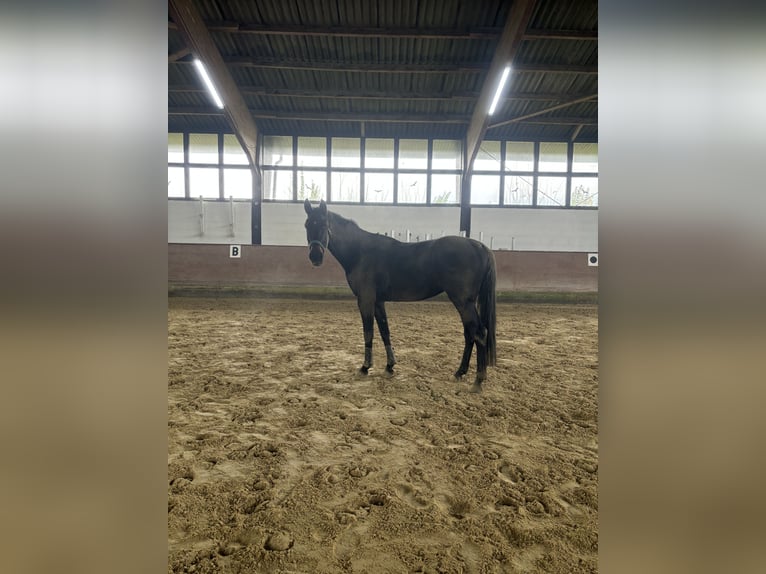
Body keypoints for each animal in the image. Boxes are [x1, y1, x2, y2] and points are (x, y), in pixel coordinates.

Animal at [306, 200, 498, 394]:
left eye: (323, 224)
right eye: (307, 225)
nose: (315, 257)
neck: (361, 252)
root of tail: (479, 246)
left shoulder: (365, 300)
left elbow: (368, 332)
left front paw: (365, 367)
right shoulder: (378, 302)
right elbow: (385, 331)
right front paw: (389, 366)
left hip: (463, 302)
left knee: (479, 333)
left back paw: (478, 381)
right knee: (470, 334)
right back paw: (460, 372)